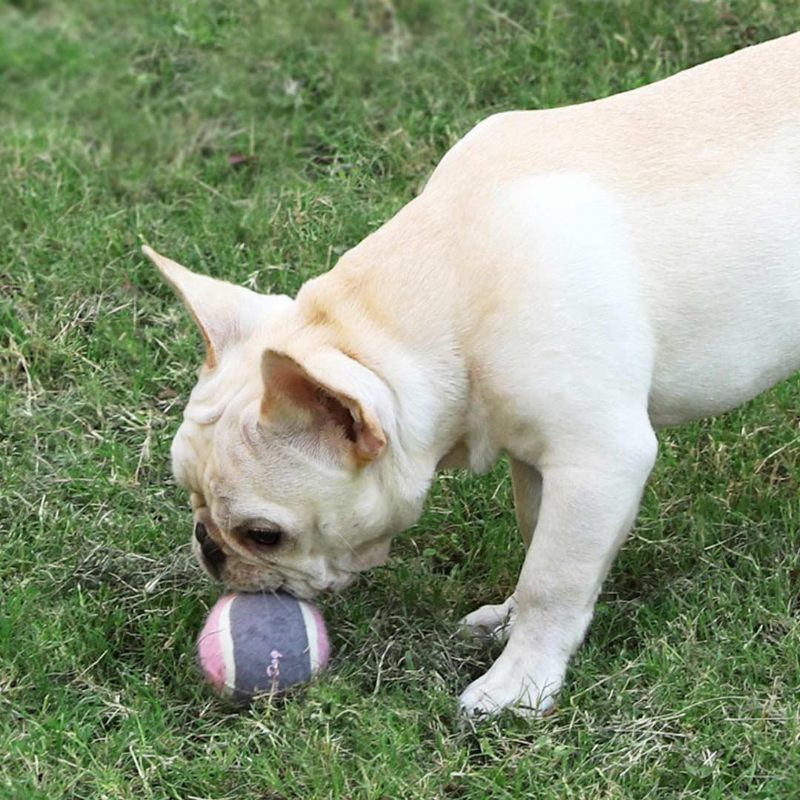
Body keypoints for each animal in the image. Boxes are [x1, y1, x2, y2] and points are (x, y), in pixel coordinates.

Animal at [144, 32, 800, 720]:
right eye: (187, 492)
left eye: (264, 535)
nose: (207, 545)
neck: (440, 291)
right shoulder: (540, 461)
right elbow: (539, 540)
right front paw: (509, 623)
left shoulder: (598, 461)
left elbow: (553, 576)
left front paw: (520, 683)